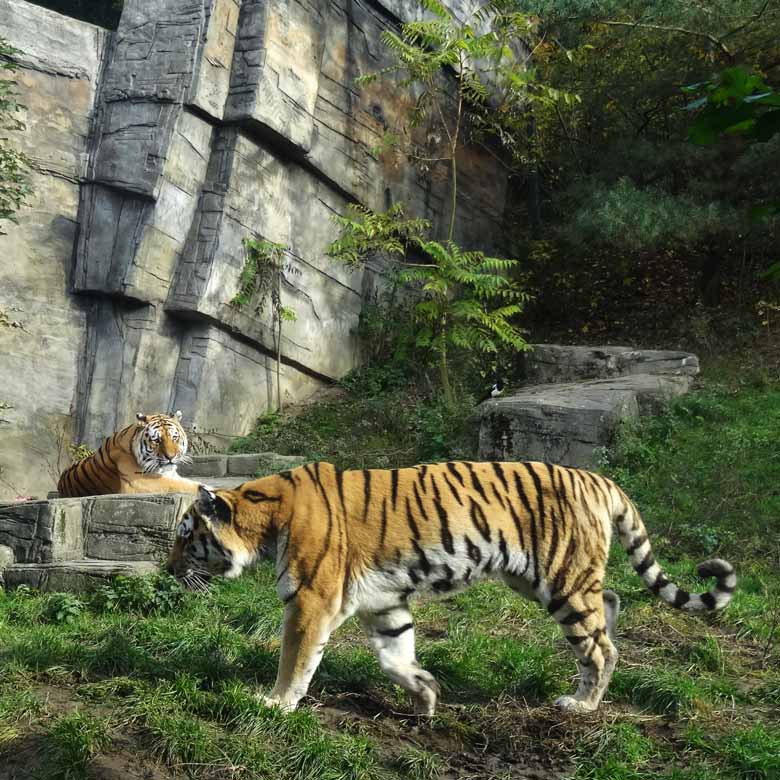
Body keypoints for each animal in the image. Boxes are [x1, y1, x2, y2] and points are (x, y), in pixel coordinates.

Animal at [166, 460, 736, 716]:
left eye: (187, 537)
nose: (168, 570)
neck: (264, 518)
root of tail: (600, 479)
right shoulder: (384, 601)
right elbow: (395, 656)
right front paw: (425, 696)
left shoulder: (311, 599)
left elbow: (296, 658)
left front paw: (274, 703)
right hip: (541, 580)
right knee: (610, 605)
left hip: (562, 581)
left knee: (600, 647)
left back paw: (582, 703)